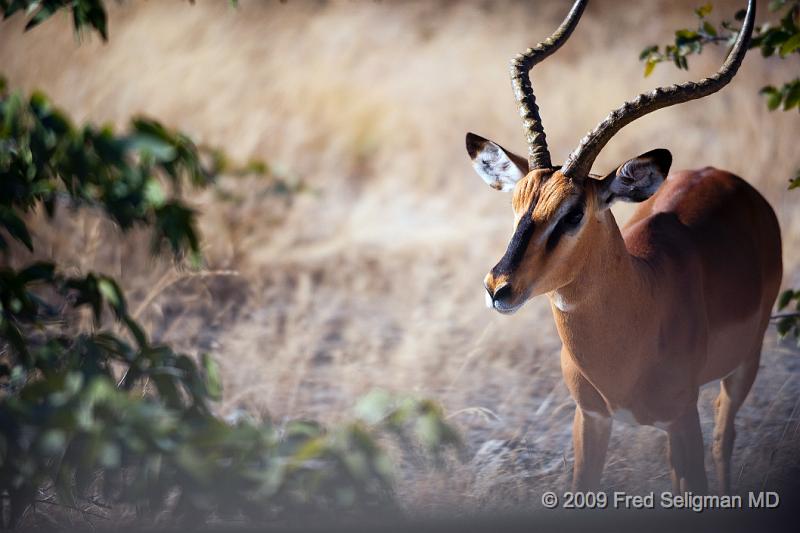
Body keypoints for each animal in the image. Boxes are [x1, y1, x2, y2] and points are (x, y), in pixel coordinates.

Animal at [468, 0, 780, 492]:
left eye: (573, 213)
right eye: (517, 203)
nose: (498, 286)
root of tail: (726, 177)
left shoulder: (682, 416)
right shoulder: (591, 417)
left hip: (745, 364)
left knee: (723, 437)